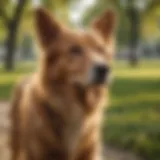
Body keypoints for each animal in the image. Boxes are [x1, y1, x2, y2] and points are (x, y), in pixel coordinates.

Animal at [10, 7, 115, 160]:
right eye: (74, 50)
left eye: (100, 50)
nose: (104, 69)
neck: (73, 107)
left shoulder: (89, 153)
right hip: (16, 141)